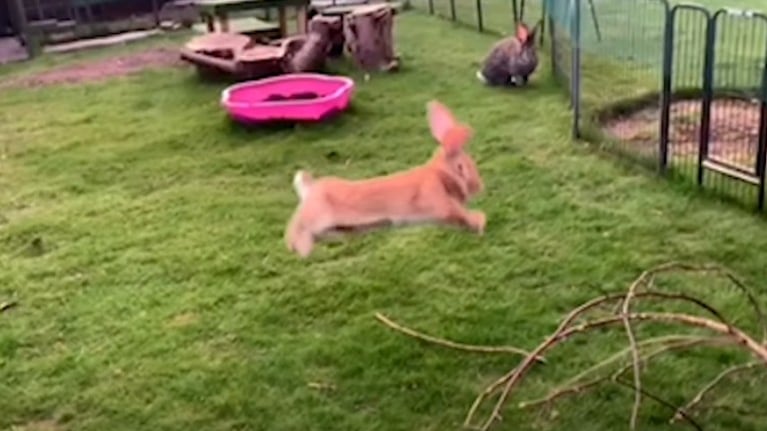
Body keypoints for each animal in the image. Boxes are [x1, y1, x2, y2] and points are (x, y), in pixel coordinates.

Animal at [282, 99, 486, 258]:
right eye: (461, 167)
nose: (478, 187)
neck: (439, 174)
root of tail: (310, 188)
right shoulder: (440, 203)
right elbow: (462, 215)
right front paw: (480, 223)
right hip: (313, 217)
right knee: (295, 230)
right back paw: (302, 249)